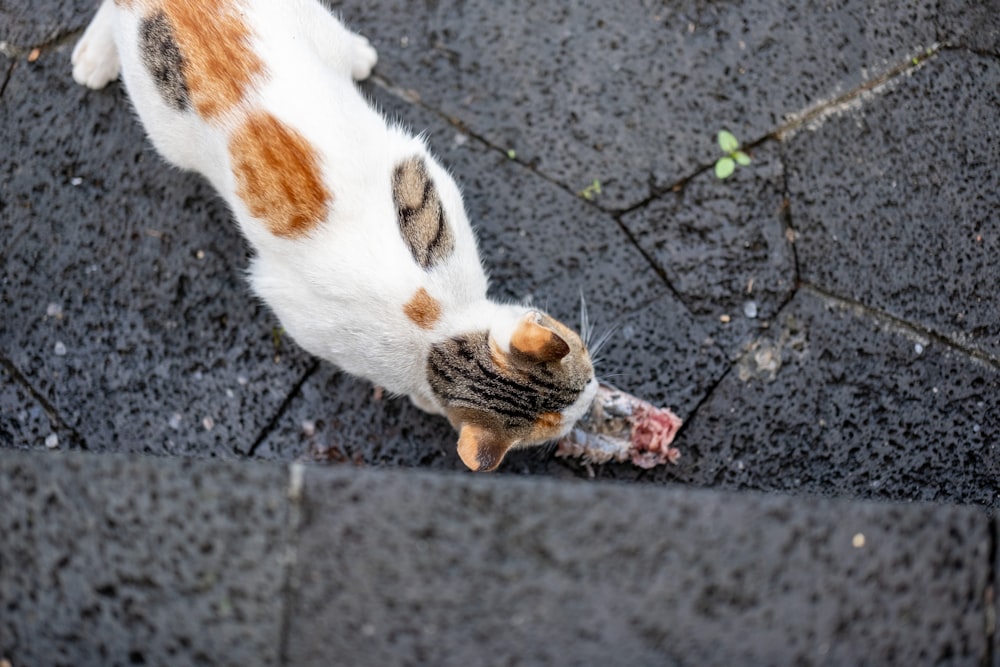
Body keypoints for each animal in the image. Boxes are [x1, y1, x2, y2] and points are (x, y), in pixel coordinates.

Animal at [72, 0, 600, 472]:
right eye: (581, 376)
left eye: (582, 363)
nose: (594, 395)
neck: (438, 329)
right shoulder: (301, 317)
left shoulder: (426, 179)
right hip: (166, 130)